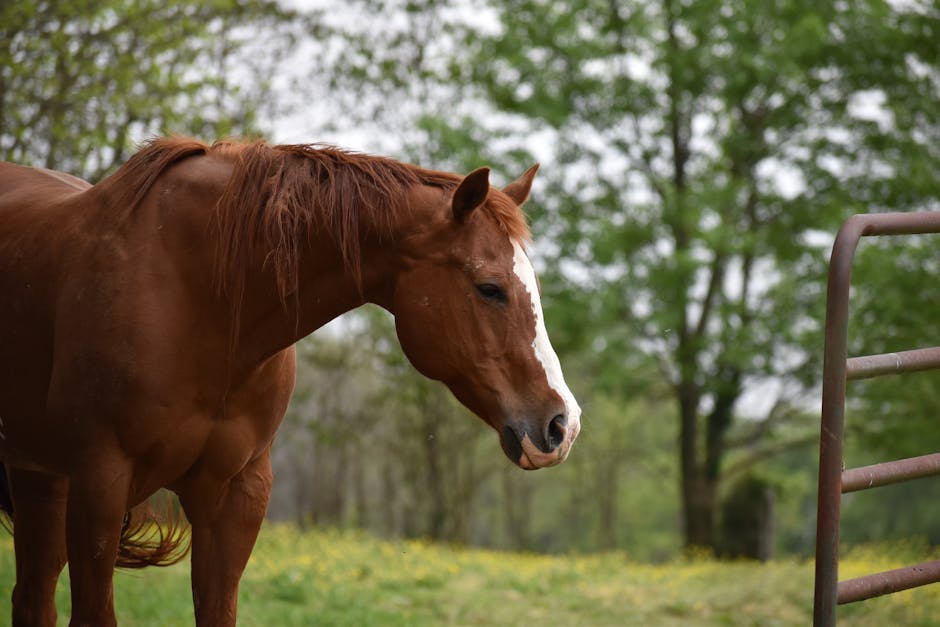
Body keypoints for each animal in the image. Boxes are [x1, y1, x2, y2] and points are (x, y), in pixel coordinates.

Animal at [0, 139, 580, 627]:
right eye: (490, 288)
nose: (562, 424)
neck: (201, 295)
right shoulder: (100, 481)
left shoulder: (238, 493)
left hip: (40, 481)